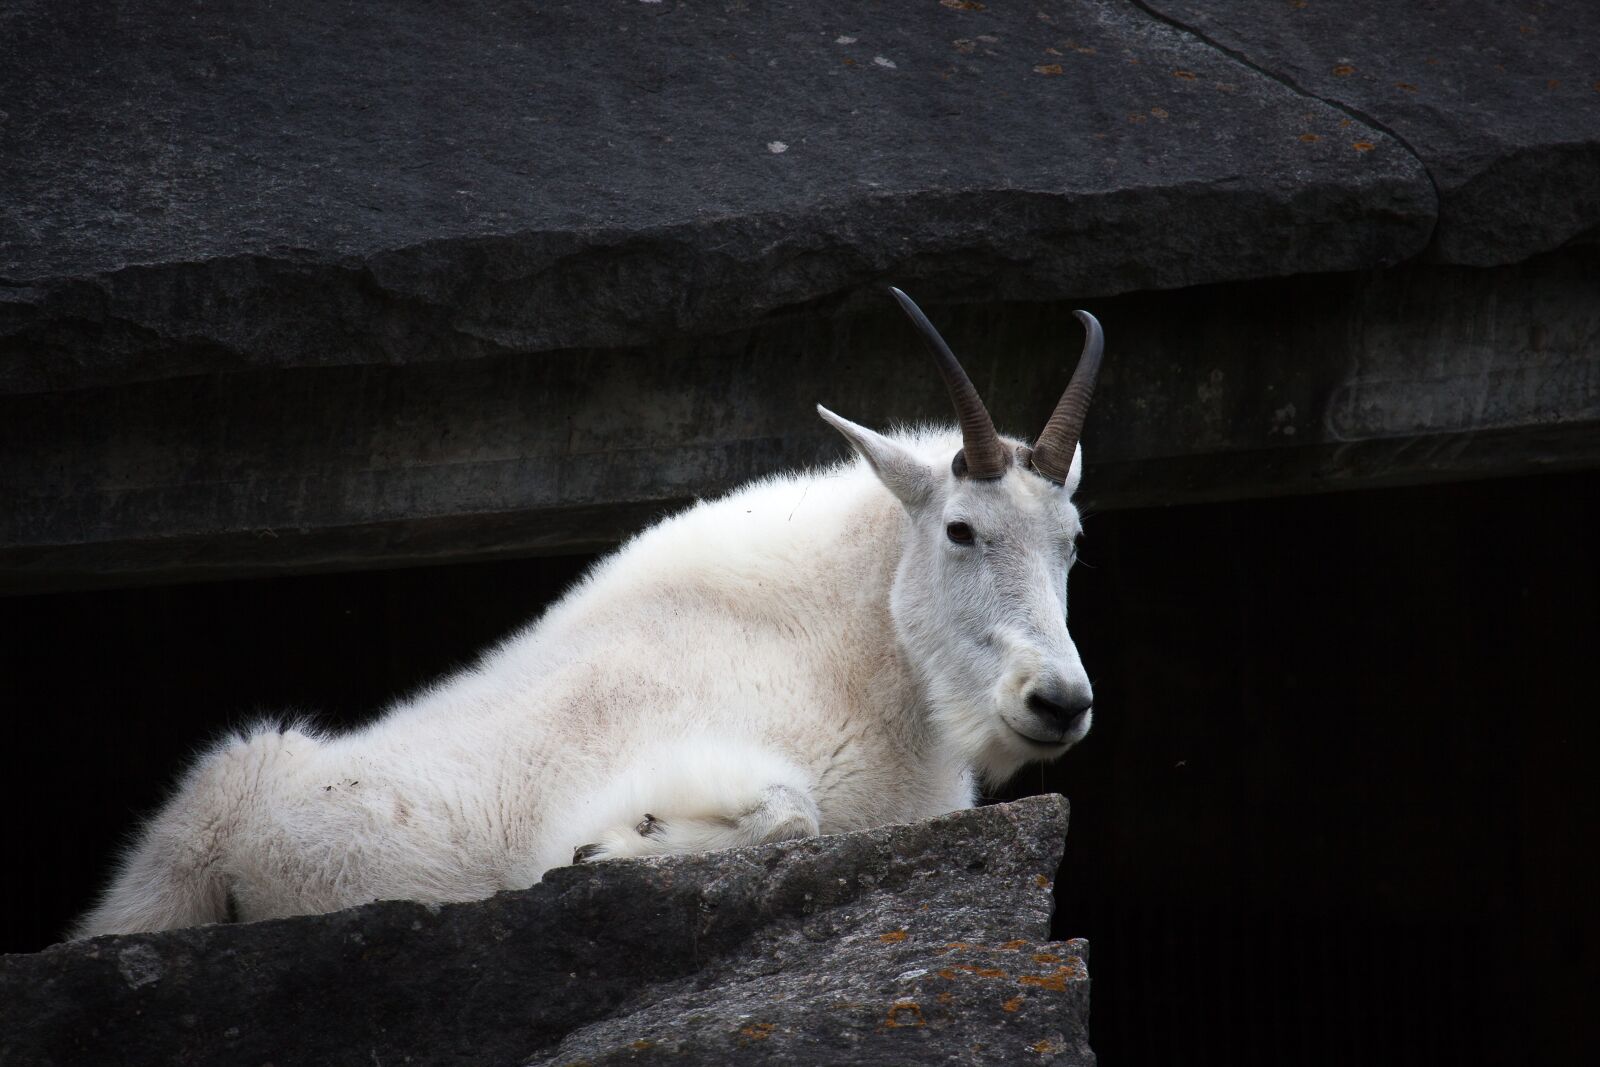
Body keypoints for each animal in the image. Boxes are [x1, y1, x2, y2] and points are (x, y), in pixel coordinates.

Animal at [70, 289, 1104, 938]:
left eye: (1073, 540)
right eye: (962, 529)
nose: (1058, 701)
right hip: (181, 853)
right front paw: (614, 847)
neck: (857, 664)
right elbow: (789, 812)